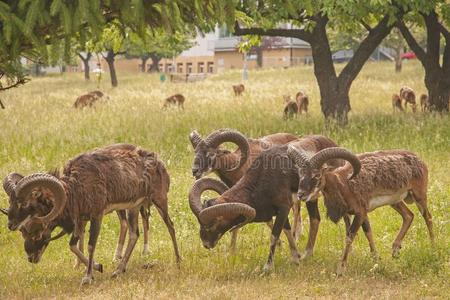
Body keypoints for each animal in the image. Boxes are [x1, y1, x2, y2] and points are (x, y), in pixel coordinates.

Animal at [2, 144, 181, 284]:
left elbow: (90, 245)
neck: (76, 188)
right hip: (134, 208)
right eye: (11, 202)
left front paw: (88, 278)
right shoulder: (80, 220)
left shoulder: (96, 216)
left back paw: (178, 261)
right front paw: (98, 267)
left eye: (25, 204)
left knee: (170, 226)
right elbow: (74, 246)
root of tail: (158, 161)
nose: (31, 258)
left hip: (159, 201)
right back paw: (118, 271)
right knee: (134, 234)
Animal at [189, 135, 342, 270]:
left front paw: (268, 267)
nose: (206, 244)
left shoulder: (283, 208)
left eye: (212, 224)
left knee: (314, 219)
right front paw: (295, 258)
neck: (263, 178)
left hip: (311, 198)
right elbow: (286, 231)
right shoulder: (281, 212)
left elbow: (274, 235)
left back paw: (307, 254)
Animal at [288, 146, 432, 276]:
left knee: (428, 217)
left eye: (316, 175)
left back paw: (433, 245)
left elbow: (349, 237)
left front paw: (340, 270)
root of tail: (420, 161)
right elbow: (367, 231)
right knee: (409, 216)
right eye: (300, 175)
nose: (301, 195)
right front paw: (377, 259)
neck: (344, 183)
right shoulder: (360, 213)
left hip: (419, 195)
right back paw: (395, 250)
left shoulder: (360, 213)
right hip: (395, 202)